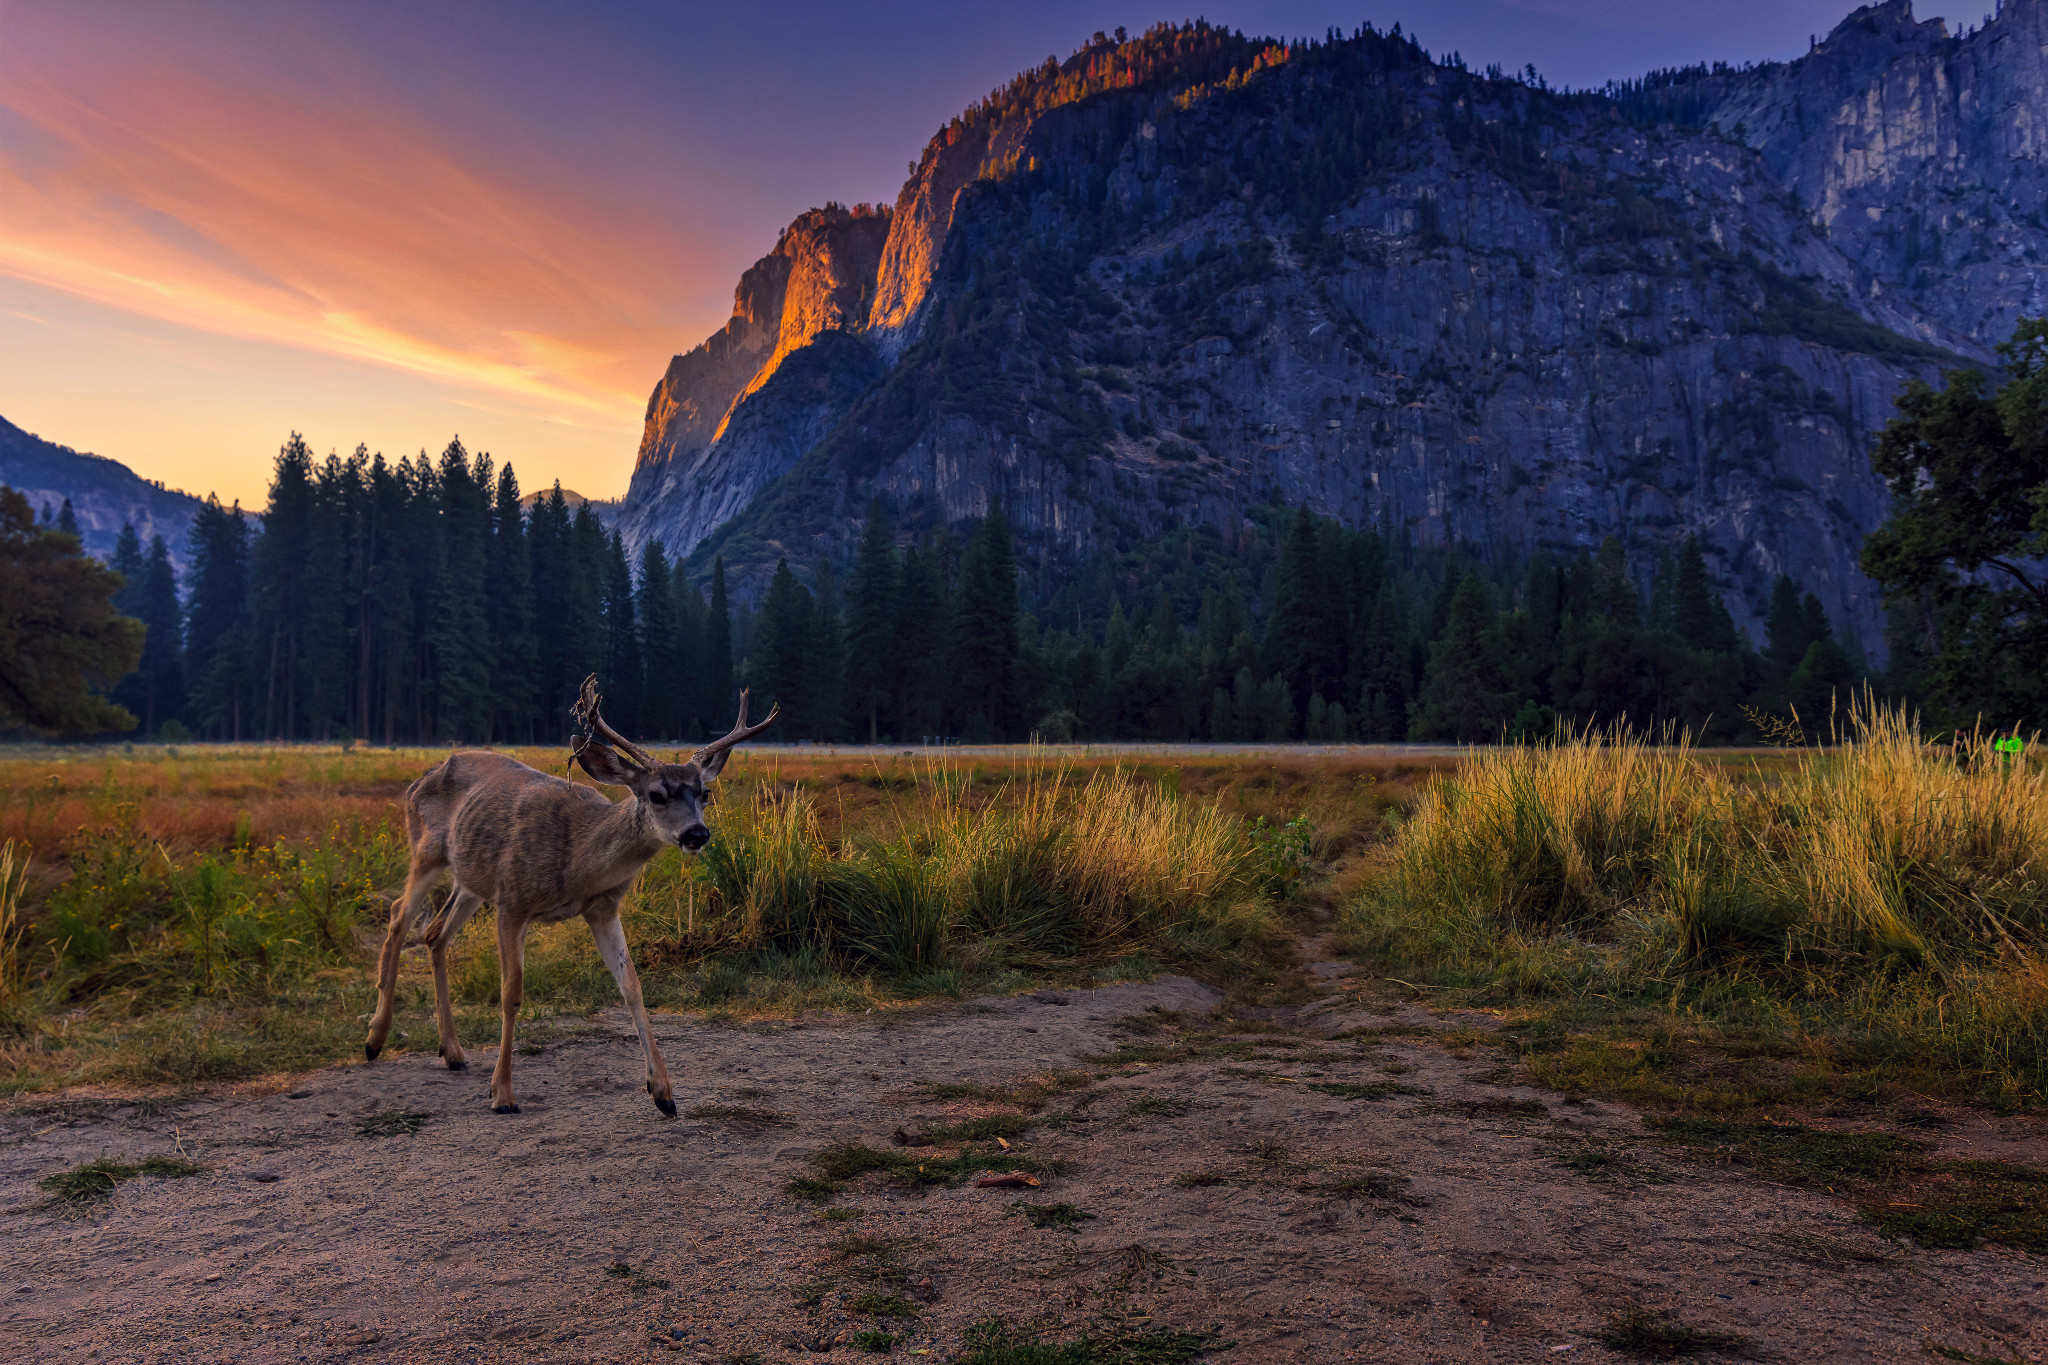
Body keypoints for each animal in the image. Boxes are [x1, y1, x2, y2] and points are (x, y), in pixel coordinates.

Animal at [360, 671, 774, 1113]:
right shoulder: (512, 901)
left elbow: (632, 987)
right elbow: (511, 993)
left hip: (471, 876)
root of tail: (420, 778)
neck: (577, 860)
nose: (696, 833)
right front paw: (502, 1093)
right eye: (656, 794)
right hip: (426, 849)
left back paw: (452, 1051)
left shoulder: (602, 907)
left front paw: (663, 1091)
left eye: (705, 793)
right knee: (398, 917)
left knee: (435, 933)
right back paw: (375, 1038)